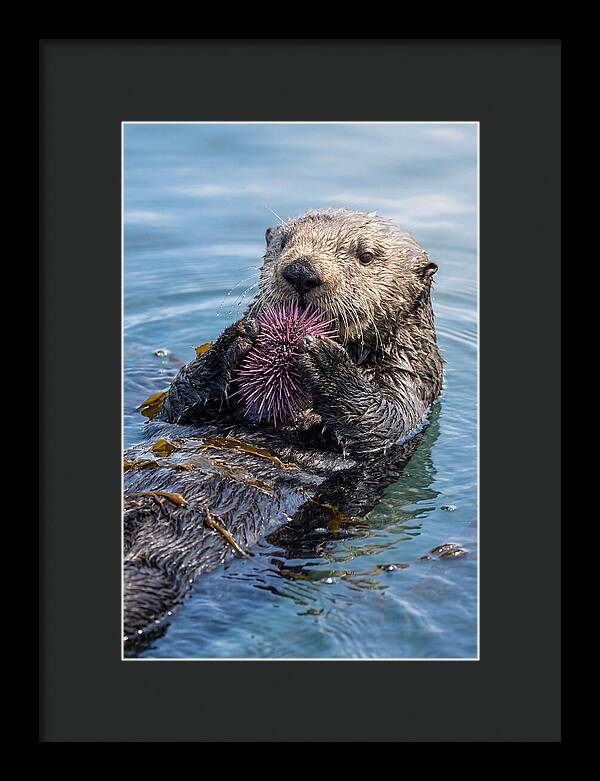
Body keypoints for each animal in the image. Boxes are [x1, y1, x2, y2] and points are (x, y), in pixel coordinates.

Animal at [123, 209, 443, 654]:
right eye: (283, 243)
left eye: (365, 255)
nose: (301, 271)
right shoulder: (180, 412)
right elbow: (177, 402)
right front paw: (235, 337)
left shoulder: (411, 385)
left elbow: (382, 422)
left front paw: (326, 360)